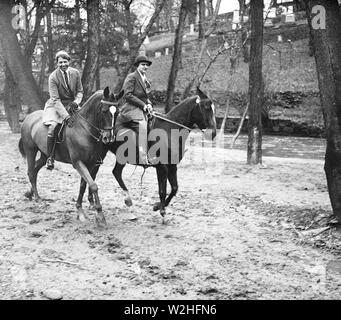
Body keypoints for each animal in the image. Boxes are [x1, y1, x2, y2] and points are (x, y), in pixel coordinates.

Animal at [18, 87, 122, 228]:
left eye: (117, 113)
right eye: (104, 111)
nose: (109, 138)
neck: (84, 129)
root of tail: (29, 117)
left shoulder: (91, 163)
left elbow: (84, 184)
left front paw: (81, 210)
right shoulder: (78, 162)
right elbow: (93, 185)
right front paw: (99, 215)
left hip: (44, 155)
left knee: (34, 170)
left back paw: (30, 194)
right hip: (31, 150)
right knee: (31, 171)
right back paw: (38, 198)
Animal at [77, 87, 215, 220]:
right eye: (206, 107)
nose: (213, 133)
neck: (169, 131)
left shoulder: (172, 166)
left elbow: (175, 189)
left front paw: (157, 206)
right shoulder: (161, 167)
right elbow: (162, 190)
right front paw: (162, 210)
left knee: (114, 173)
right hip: (100, 155)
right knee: (95, 174)